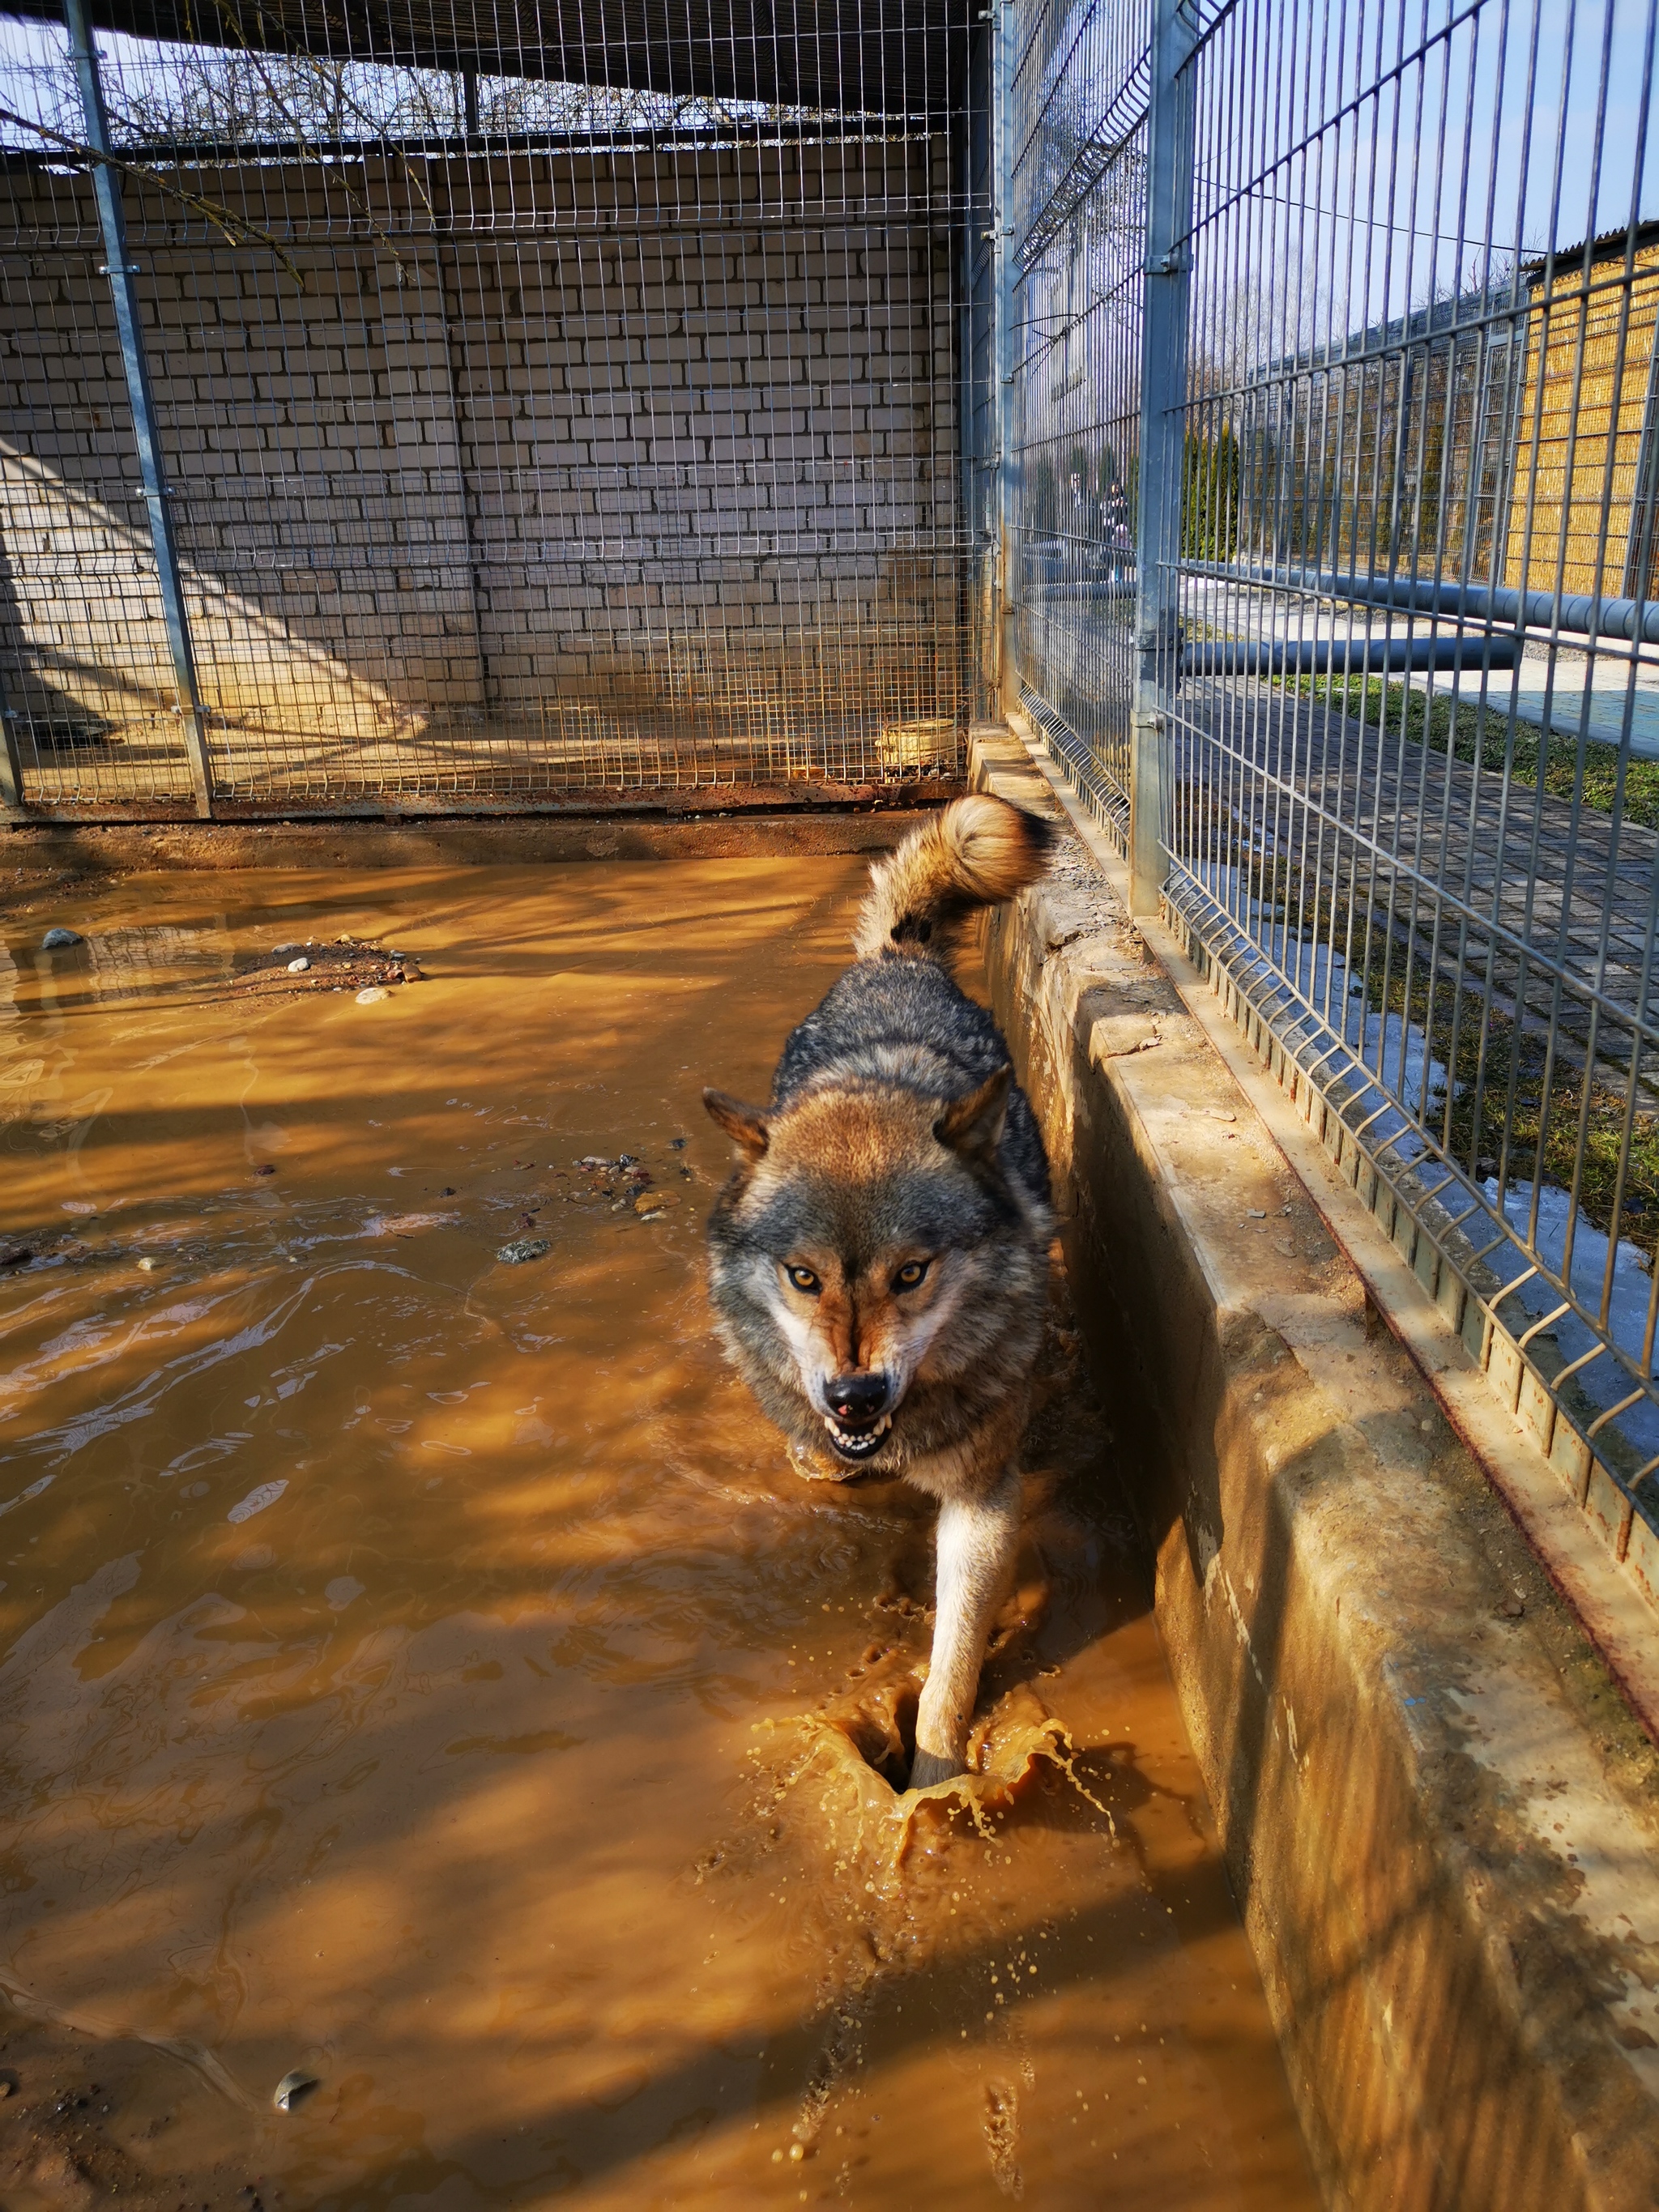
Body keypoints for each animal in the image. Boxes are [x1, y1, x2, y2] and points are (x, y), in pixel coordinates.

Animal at [707, 787, 1057, 1787]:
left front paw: (930, 1785)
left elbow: (952, 1664)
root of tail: (895, 960)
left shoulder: (984, 1496)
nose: (854, 1396)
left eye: (911, 1274)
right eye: (803, 1275)